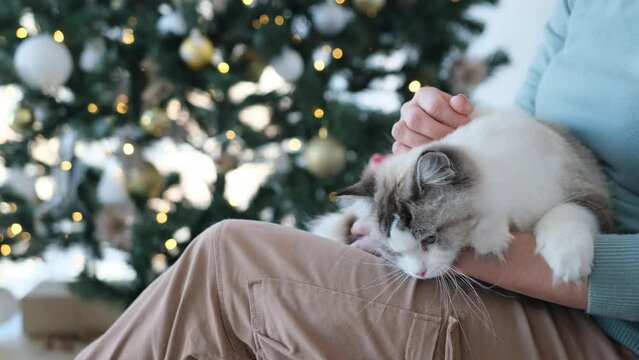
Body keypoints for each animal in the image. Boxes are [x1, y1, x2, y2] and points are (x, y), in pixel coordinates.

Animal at [312, 108, 616, 282]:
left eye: (430, 239)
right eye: (394, 252)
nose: (419, 274)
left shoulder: (586, 194)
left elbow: (564, 215)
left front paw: (569, 262)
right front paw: (490, 239)